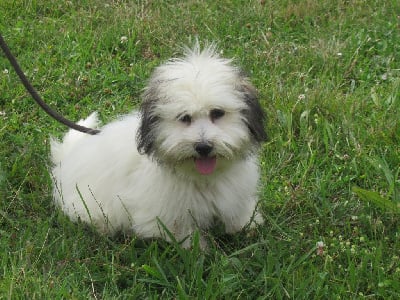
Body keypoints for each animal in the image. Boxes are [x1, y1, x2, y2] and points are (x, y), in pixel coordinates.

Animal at [50, 42, 268, 248]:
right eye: (184, 117)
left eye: (217, 113)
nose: (203, 147)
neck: (202, 178)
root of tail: (66, 159)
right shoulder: (165, 213)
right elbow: (180, 232)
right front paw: (195, 249)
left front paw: (245, 224)